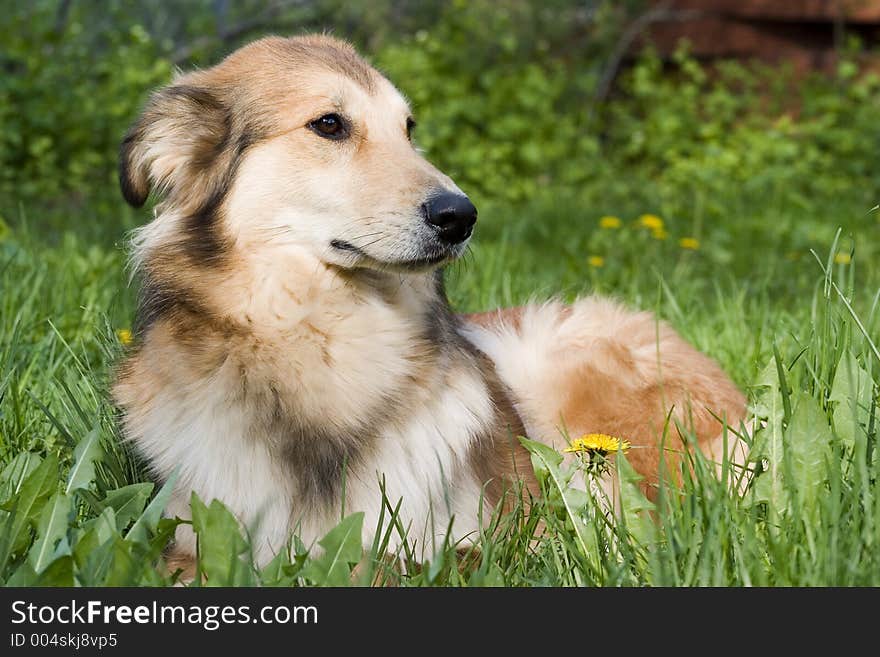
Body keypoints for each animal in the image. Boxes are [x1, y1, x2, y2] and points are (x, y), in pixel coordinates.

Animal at [111, 34, 748, 568]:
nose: (460, 216)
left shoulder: (501, 542)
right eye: (329, 124)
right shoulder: (196, 533)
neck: (323, 336)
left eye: (408, 129)